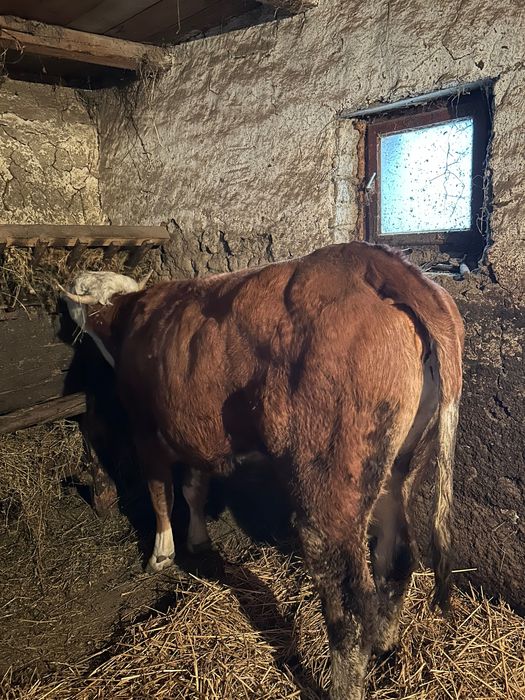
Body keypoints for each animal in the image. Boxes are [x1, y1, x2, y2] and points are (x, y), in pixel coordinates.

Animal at [60, 242, 464, 700]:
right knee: (396, 557)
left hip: (329, 486)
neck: (129, 315)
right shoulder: (195, 431)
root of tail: (373, 259)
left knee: (348, 600)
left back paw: (345, 681)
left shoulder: (145, 425)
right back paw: (385, 642)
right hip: (401, 467)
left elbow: (160, 490)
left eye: (78, 288)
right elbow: (194, 488)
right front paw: (197, 539)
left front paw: (161, 551)